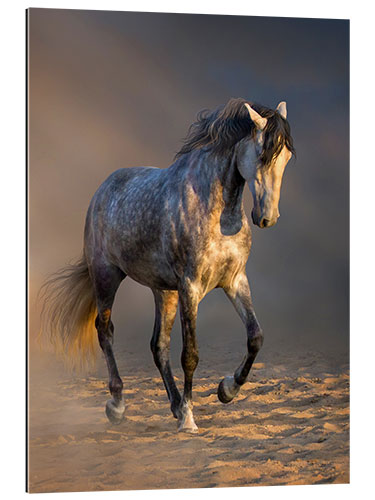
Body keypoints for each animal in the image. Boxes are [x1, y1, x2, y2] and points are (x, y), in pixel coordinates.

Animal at [40, 97, 294, 434]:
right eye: (262, 154)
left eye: (287, 156)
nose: (267, 217)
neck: (218, 212)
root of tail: (102, 190)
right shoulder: (191, 287)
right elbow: (191, 354)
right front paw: (189, 419)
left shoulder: (235, 281)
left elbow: (255, 337)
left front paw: (227, 390)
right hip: (107, 276)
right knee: (105, 331)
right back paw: (118, 405)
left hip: (164, 292)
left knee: (158, 345)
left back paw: (174, 404)